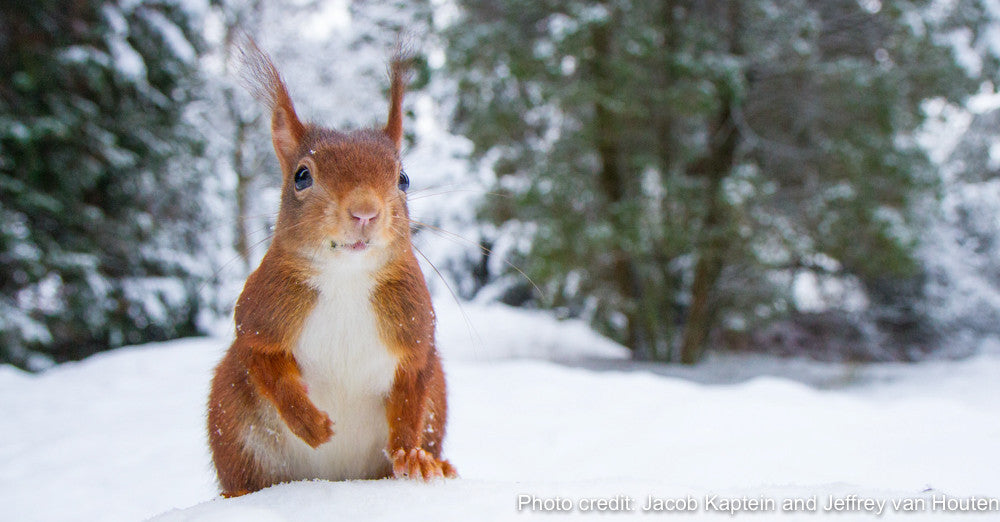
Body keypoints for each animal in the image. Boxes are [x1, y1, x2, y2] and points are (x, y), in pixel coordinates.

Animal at [207, 41, 458, 496]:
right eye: (301, 176)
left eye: (404, 178)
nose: (365, 212)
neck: (346, 278)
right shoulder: (258, 315)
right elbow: (262, 360)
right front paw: (311, 424)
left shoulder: (415, 331)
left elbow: (411, 393)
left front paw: (411, 455)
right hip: (230, 410)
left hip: (439, 395)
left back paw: (436, 463)